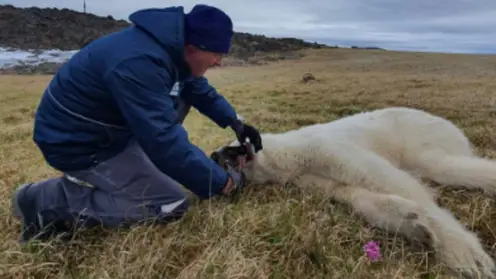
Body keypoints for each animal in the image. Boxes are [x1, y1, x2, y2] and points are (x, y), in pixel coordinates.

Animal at [213, 106, 496, 279]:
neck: (287, 157)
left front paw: (465, 255)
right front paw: (414, 224)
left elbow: (383, 177)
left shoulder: (323, 150)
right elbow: (352, 194)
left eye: (231, 145)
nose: (215, 155)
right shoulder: (309, 177)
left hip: (421, 136)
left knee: (439, 164)